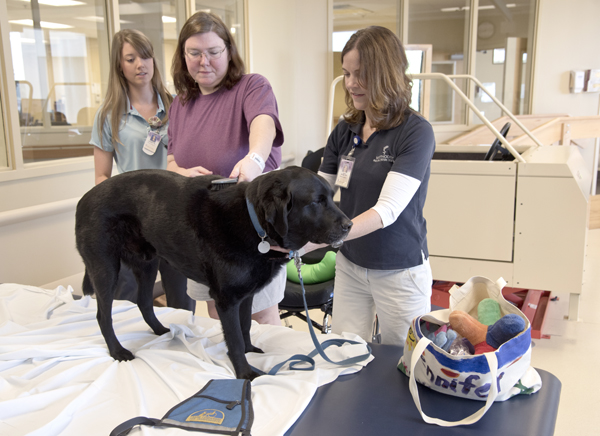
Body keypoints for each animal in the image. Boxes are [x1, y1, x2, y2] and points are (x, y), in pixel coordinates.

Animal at [75, 165, 352, 380]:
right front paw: (245, 373)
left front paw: (250, 350)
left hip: (147, 264)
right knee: (103, 315)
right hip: (106, 269)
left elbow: (245, 327)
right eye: (316, 202)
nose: (349, 225)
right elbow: (235, 338)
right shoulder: (226, 300)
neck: (255, 224)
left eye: (332, 196)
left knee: (144, 302)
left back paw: (160, 330)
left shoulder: (246, 296)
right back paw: (117, 351)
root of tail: (83, 198)